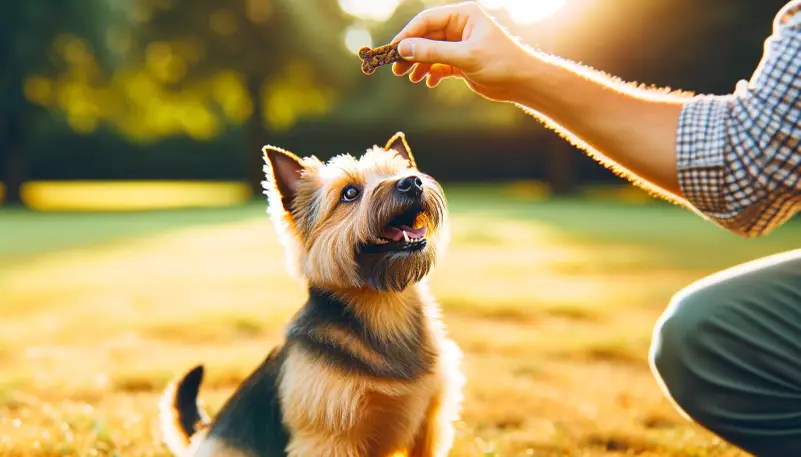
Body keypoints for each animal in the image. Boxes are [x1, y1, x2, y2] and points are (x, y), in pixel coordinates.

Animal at [158, 132, 462, 456]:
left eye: (397, 173)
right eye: (350, 193)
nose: (412, 182)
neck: (385, 306)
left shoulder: (429, 425)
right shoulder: (329, 438)